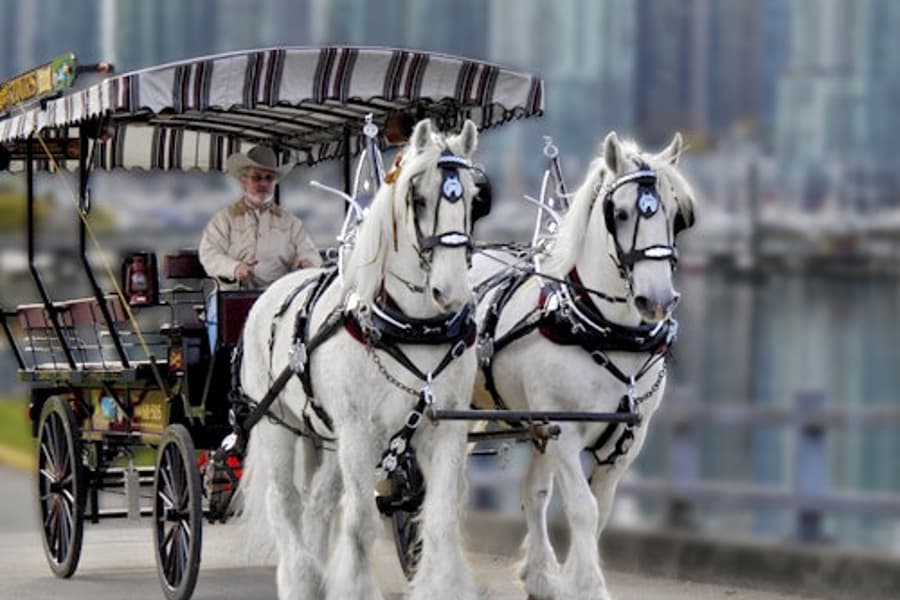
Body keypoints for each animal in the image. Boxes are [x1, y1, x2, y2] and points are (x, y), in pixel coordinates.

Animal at [238, 118, 483, 600]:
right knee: (285, 501)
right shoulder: (358, 431)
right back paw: (301, 578)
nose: (451, 293)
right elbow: (361, 525)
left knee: (317, 503)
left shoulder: (443, 428)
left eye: (471, 196)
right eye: (418, 198)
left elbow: (441, 521)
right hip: (277, 423)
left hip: (326, 435)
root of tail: (273, 289)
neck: (412, 326)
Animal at [471, 131, 697, 600]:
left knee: (533, 490)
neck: (603, 330)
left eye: (677, 216)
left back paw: (539, 573)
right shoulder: (564, 431)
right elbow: (582, 508)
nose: (657, 300)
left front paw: (565, 578)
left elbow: (600, 509)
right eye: (621, 212)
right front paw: (589, 584)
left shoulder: (627, 438)